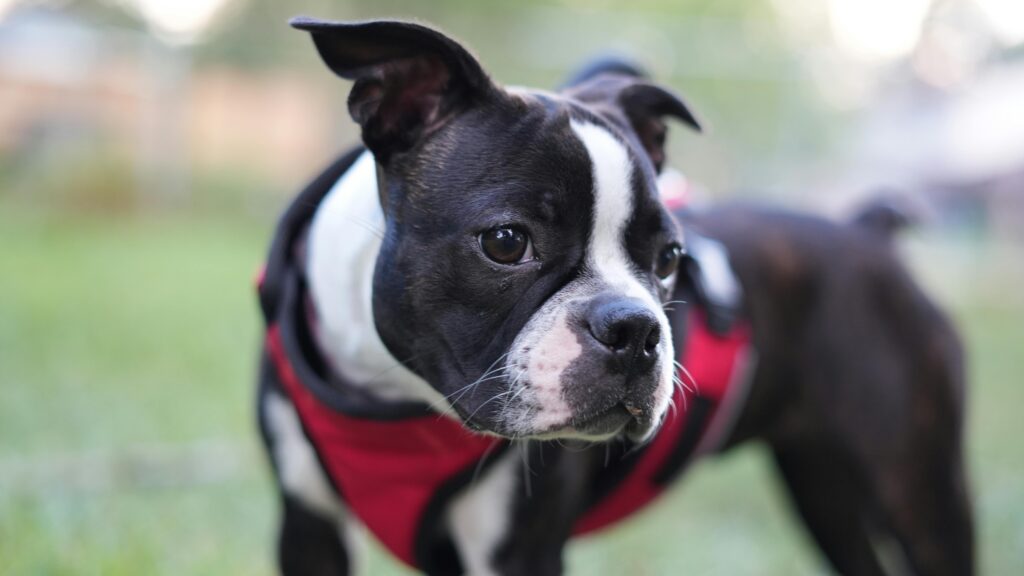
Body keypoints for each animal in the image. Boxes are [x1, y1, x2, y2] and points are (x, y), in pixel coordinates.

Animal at [253, 16, 966, 573]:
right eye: (506, 242)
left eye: (670, 258)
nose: (635, 329)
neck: (395, 399)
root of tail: (868, 232)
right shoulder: (308, 528)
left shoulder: (519, 550)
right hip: (823, 486)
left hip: (918, 492)